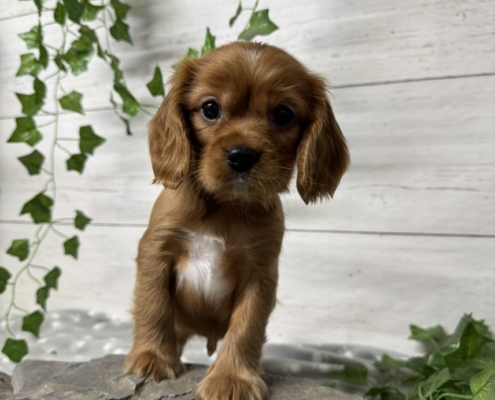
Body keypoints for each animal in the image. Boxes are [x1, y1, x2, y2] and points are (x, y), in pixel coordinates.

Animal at [124, 42, 350, 400]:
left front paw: (233, 377)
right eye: (210, 108)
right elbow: (152, 305)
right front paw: (152, 358)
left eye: (283, 115)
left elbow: (247, 327)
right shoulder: (156, 251)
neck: (226, 208)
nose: (241, 155)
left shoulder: (261, 272)